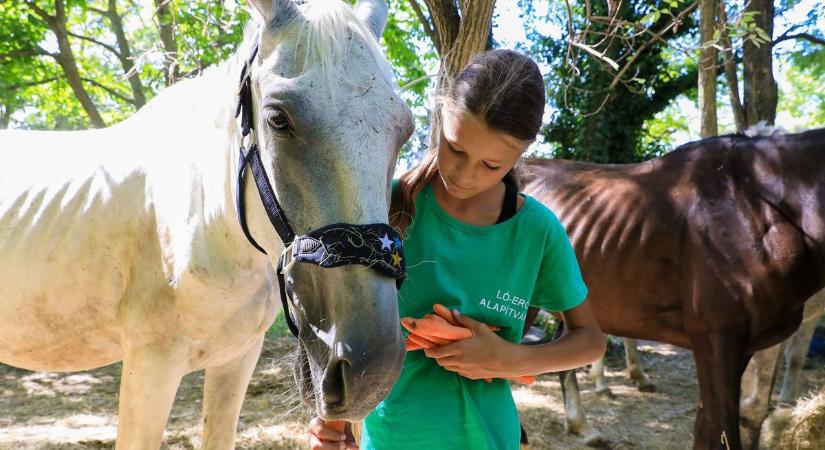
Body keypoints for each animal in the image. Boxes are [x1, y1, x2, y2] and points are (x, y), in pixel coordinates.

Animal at [0, 0, 412, 446]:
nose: (373, 371)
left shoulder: (236, 359)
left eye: (404, 129)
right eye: (277, 119)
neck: (205, 226)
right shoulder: (152, 368)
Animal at [520, 127, 824, 450]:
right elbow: (723, 427)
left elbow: (711, 428)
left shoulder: (742, 348)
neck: (757, 210)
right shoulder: (716, 340)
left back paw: (583, 428)